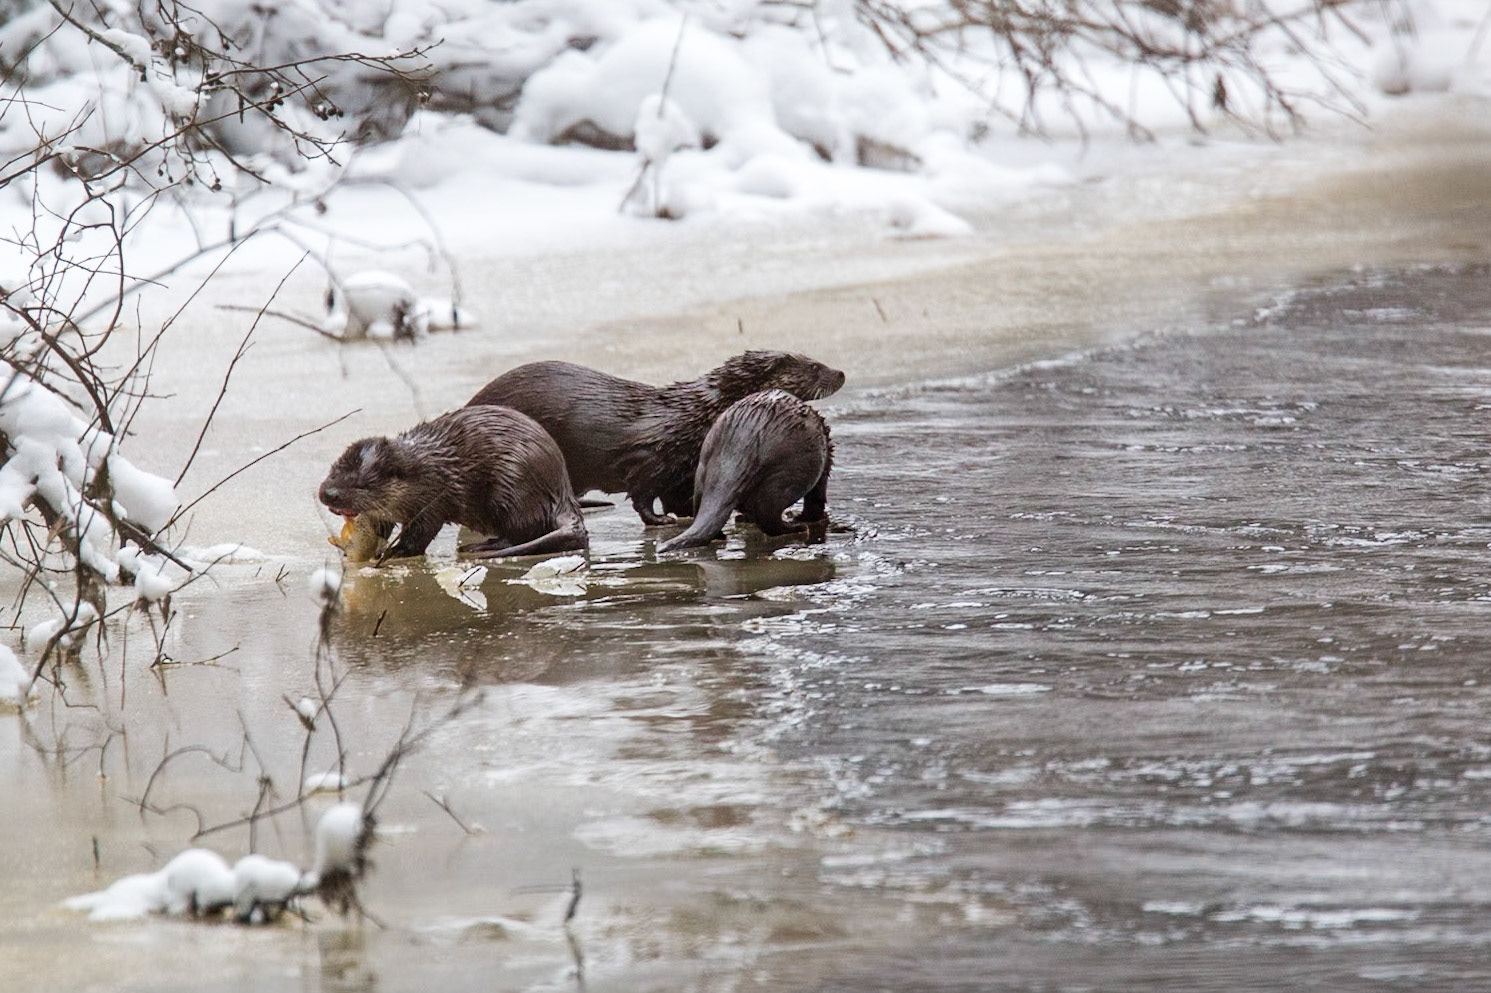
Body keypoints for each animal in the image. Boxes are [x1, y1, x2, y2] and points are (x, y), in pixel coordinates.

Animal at [318, 406, 587, 560]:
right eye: (332, 471)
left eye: (361, 484)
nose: (327, 494)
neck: (422, 474)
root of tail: (562, 491)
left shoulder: (433, 499)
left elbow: (422, 532)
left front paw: (397, 551)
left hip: (513, 488)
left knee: (522, 532)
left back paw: (482, 547)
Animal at [466, 351, 845, 525]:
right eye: (814, 367)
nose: (841, 372)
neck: (695, 415)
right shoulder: (651, 456)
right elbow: (643, 495)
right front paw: (662, 521)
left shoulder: (683, 470)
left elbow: (677, 496)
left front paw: (685, 516)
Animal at [656, 390, 832, 552]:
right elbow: (816, 498)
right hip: (784, 474)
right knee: (768, 515)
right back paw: (797, 527)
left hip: (702, 468)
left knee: (699, 506)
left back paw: (721, 535)